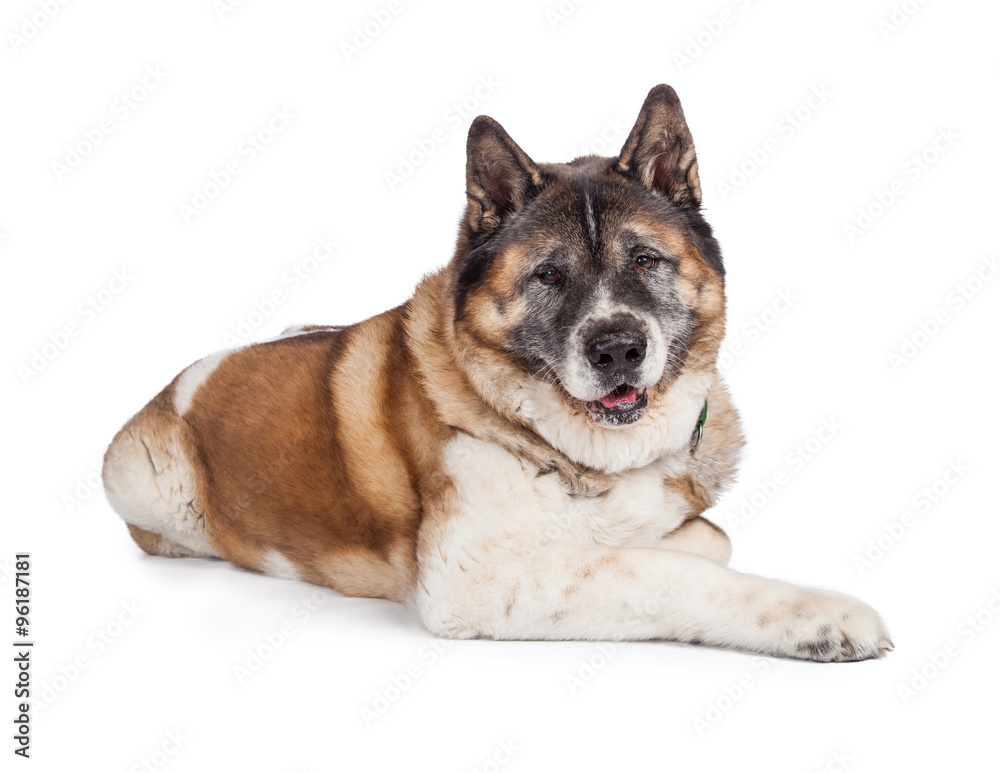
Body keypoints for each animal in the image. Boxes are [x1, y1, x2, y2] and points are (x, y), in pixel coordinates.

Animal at [105, 86, 896, 664]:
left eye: (645, 260)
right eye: (549, 276)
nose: (617, 348)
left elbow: (705, 539)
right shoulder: (471, 579)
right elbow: (668, 570)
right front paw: (818, 614)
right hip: (139, 481)